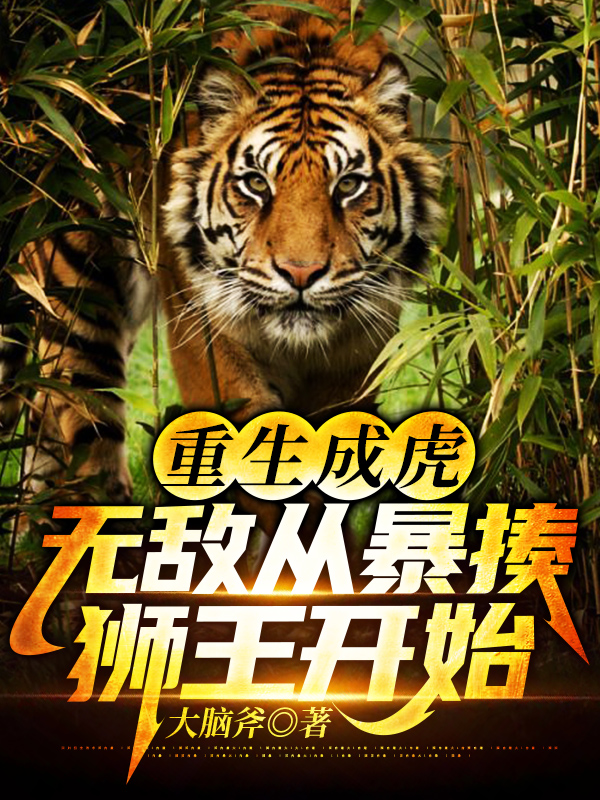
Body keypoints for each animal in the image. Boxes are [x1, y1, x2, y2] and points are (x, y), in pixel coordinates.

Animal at [0, 0, 442, 506]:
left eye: (348, 185)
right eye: (256, 184)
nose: (301, 273)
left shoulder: (357, 356)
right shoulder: (207, 340)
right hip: (77, 292)